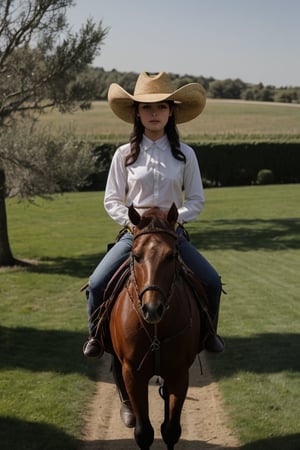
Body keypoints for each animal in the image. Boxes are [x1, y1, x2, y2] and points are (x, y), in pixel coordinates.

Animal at [109, 203, 207, 450]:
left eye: (172, 255)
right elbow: (144, 432)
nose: (152, 309)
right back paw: (127, 411)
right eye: (136, 256)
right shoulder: (133, 373)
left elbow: (170, 430)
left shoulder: (179, 373)